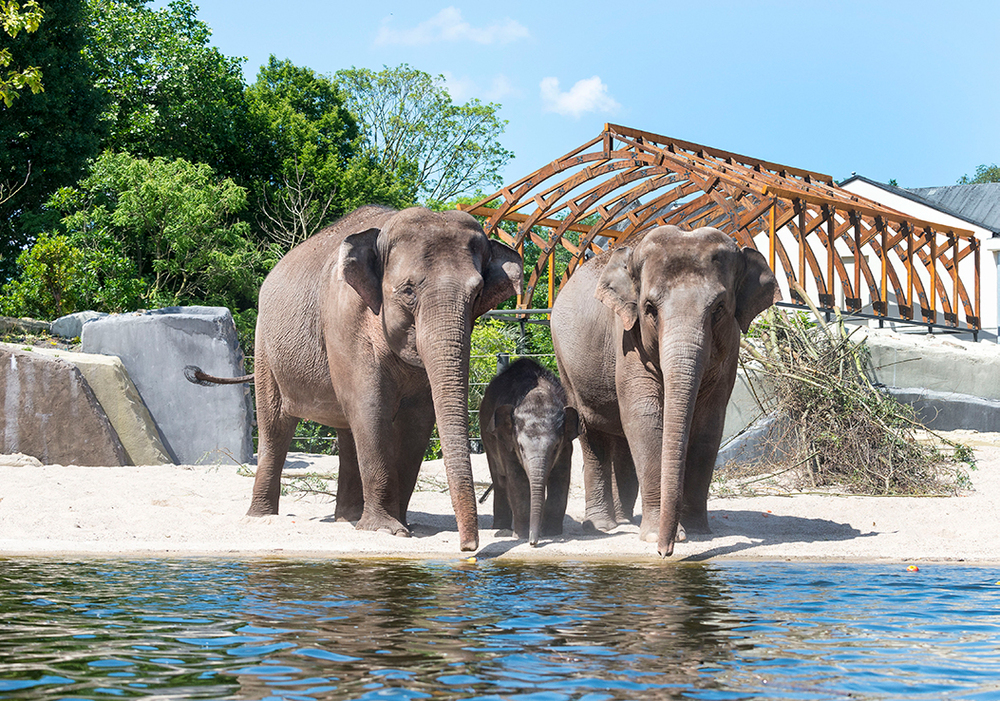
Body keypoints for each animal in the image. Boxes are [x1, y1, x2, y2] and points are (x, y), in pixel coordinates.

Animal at [246, 205, 520, 548]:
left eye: (478, 293)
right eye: (408, 290)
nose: (468, 547)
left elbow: (418, 418)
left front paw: (402, 526)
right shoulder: (345, 319)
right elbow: (370, 406)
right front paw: (385, 529)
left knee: (347, 430)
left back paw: (348, 519)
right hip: (265, 348)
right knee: (275, 425)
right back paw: (262, 517)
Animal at [480, 358, 584, 544]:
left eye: (555, 447)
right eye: (521, 447)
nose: (533, 542)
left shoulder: (566, 447)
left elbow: (561, 477)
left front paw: (551, 533)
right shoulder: (507, 444)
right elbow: (517, 481)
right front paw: (521, 536)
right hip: (486, 436)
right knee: (500, 480)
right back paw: (500, 527)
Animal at [552, 227, 776, 556]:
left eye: (719, 308)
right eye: (649, 309)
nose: (665, 551)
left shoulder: (730, 348)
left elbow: (709, 423)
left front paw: (698, 532)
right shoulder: (627, 338)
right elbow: (644, 417)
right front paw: (656, 535)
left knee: (621, 438)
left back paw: (625, 519)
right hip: (565, 362)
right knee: (591, 432)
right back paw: (602, 526)